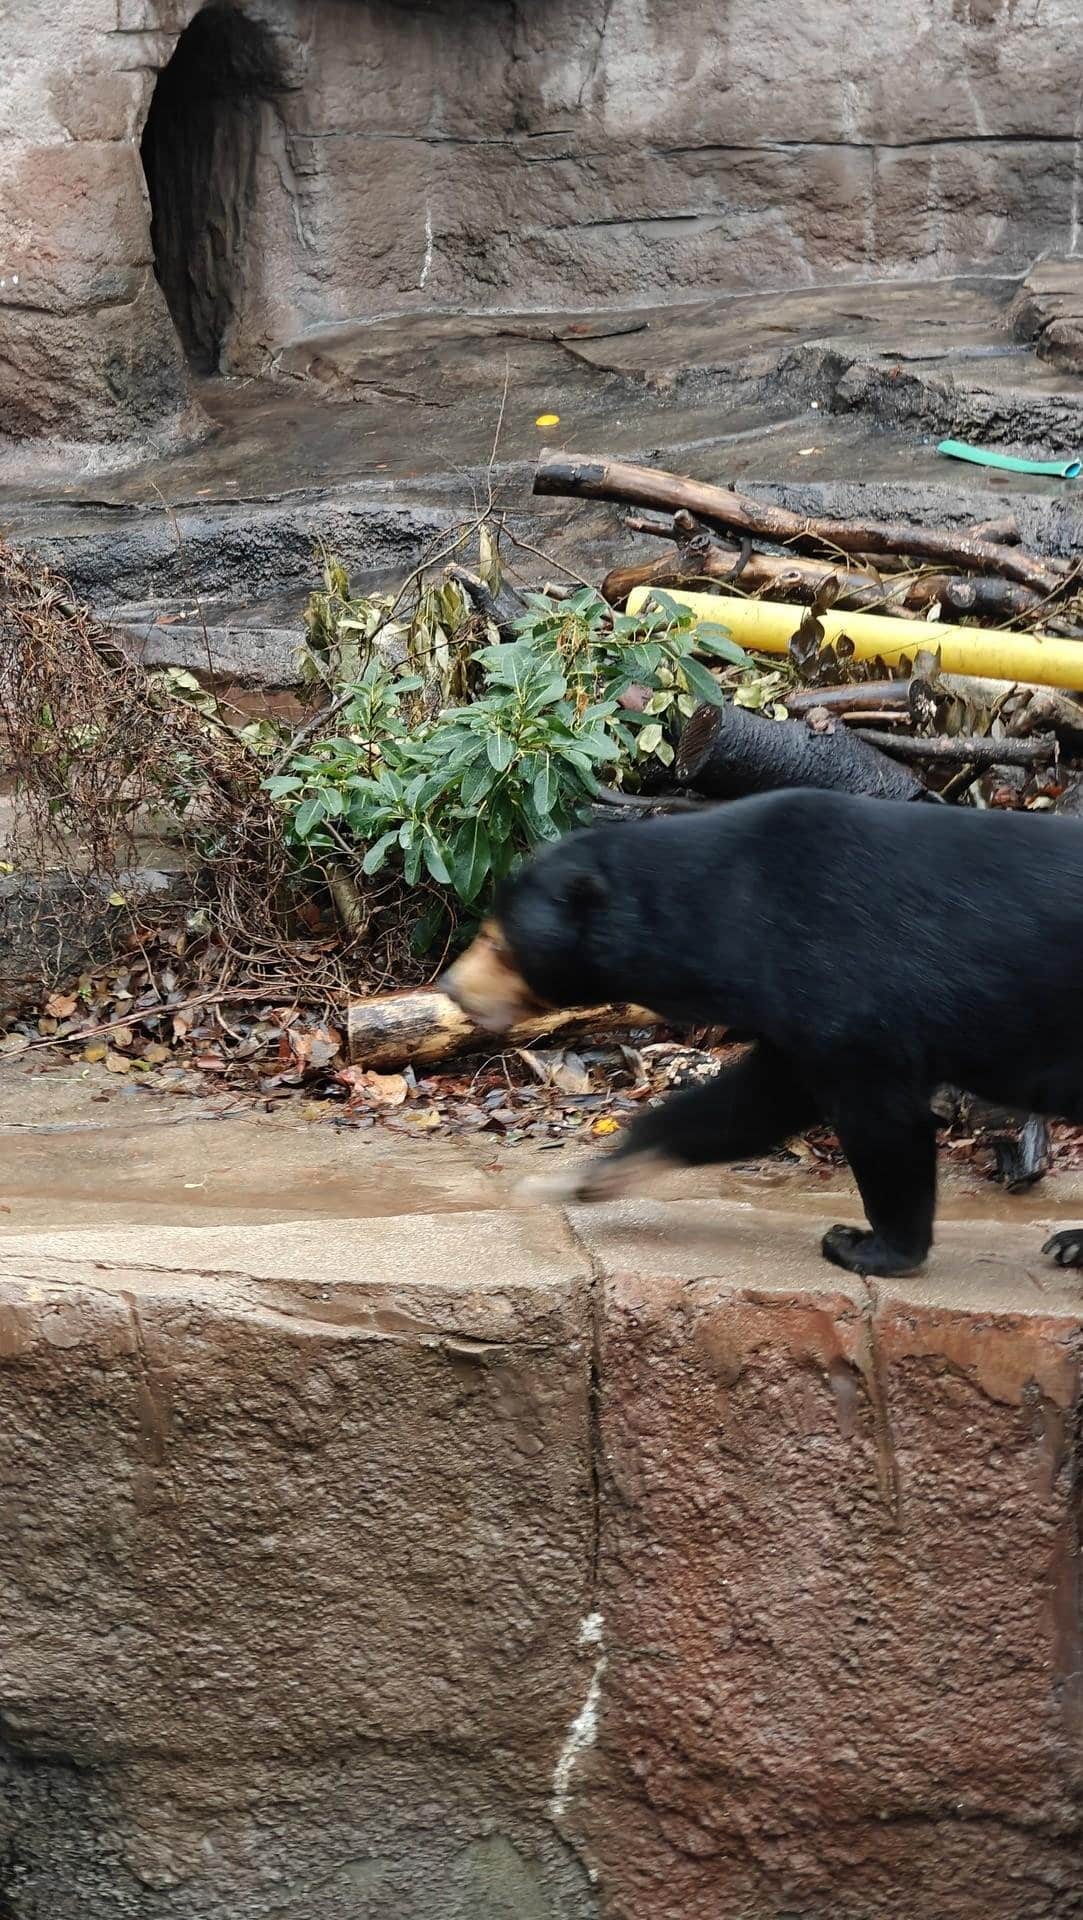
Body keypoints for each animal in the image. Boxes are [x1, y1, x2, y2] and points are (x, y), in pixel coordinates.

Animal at [440, 788, 1083, 1277]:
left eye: (498, 941)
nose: (450, 987)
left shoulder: (848, 983)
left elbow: (879, 1115)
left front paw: (865, 1247)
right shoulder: (793, 1013)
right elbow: (754, 1101)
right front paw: (583, 1179)